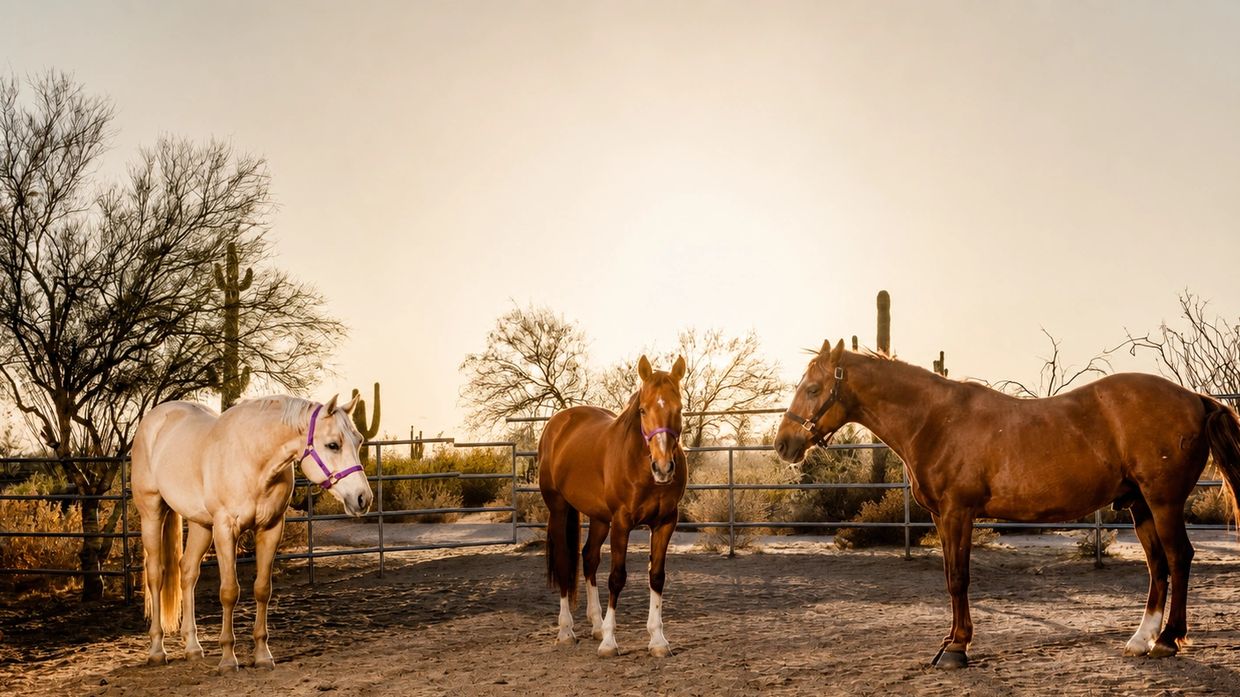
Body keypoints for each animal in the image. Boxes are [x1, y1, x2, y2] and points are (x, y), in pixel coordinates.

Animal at [131, 393, 374, 672]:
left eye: (359, 441)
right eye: (333, 445)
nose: (363, 498)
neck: (253, 459)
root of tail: (156, 417)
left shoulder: (270, 529)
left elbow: (262, 589)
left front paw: (262, 655)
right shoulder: (226, 529)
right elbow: (229, 592)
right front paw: (228, 658)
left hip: (200, 525)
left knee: (188, 572)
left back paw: (193, 647)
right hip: (151, 513)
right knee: (156, 575)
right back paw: (157, 650)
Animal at [538, 355, 688, 657]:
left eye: (679, 409)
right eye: (642, 410)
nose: (663, 467)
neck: (640, 464)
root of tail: (557, 423)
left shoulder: (666, 522)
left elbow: (657, 576)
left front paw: (658, 640)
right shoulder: (622, 522)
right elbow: (617, 577)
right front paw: (609, 642)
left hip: (599, 518)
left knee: (589, 558)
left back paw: (595, 624)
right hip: (559, 509)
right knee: (564, 561)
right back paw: (566, 631)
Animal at [773, 339, 1240, 669]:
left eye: (813, 388)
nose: (783, 445)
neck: (934, 421)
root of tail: (1196, 398)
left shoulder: (958, 513)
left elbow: (959, 579)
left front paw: (957, 648)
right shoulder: (942, 518)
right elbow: (951, 577)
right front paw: (951, 641)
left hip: (1163, 501)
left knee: (1179, 558)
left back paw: (1168, 640)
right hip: (1140, 504)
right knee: (1158, 566)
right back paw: (1142, 639)